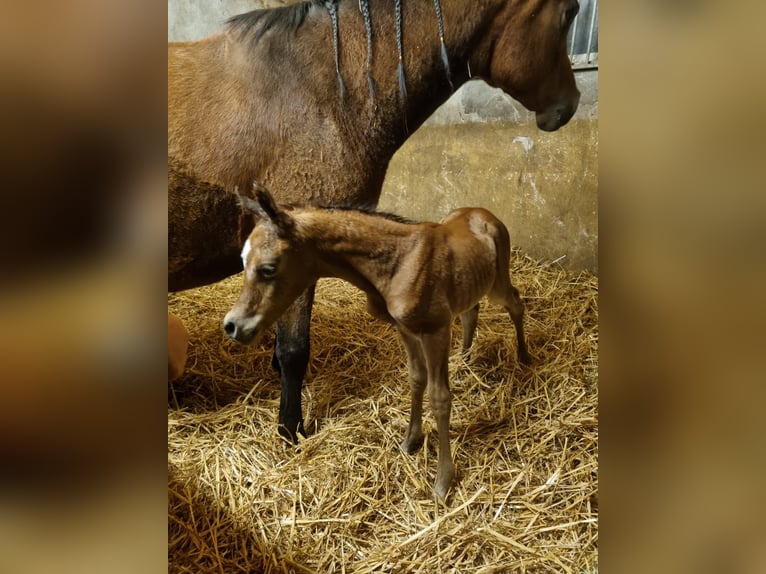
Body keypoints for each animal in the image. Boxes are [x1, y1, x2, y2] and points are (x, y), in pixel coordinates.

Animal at [225, 188, 532, 500]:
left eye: (268, 268)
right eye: (242, 261)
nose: (233, 326)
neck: (397, 262)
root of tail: (485, 213)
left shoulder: (435, 330)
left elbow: (440, 398)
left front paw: (443, 481)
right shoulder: (405, 328)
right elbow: (416, 379)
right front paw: (410, 441)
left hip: (497, 283)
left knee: (515, 303)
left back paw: (524, 356)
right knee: (471, 311)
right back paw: (466, 357)